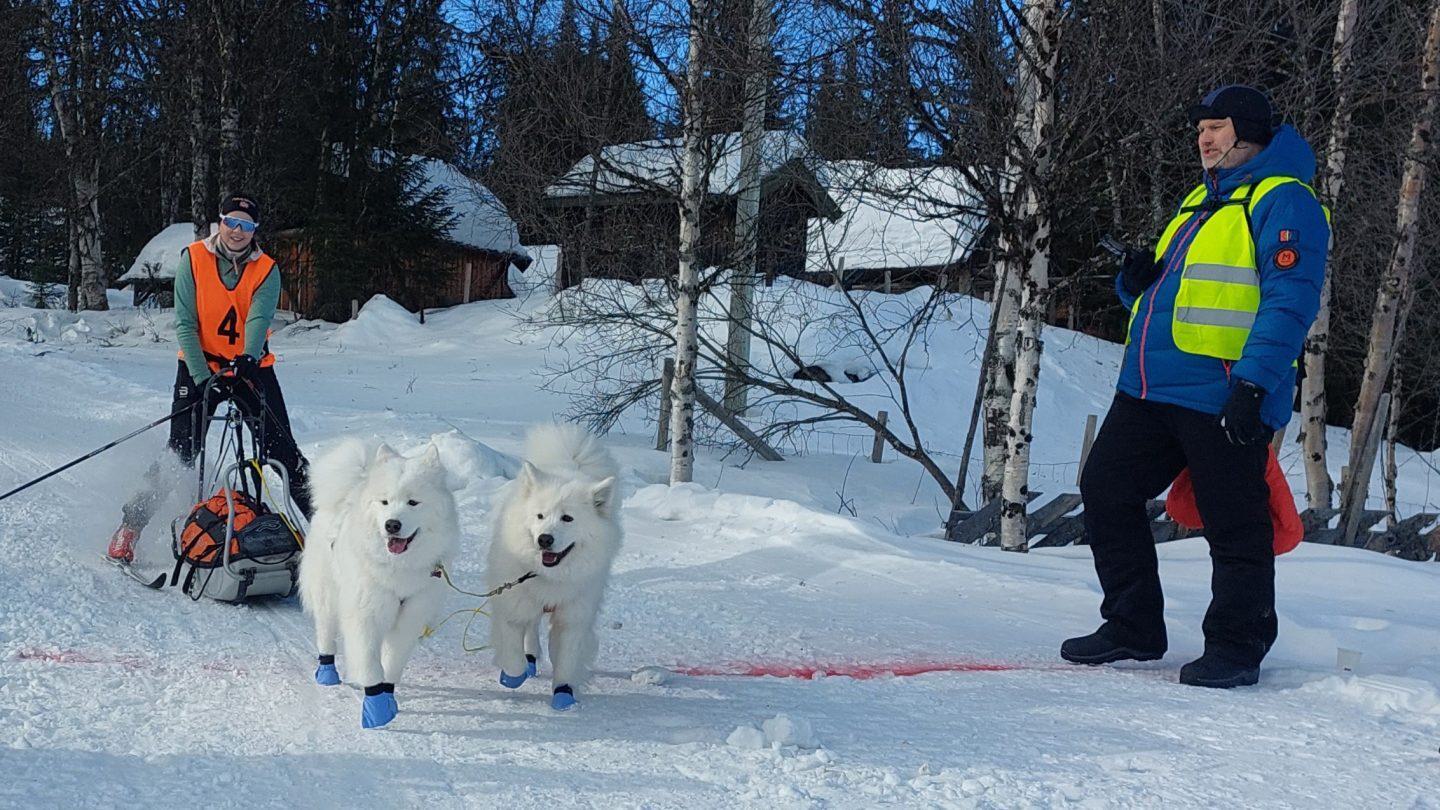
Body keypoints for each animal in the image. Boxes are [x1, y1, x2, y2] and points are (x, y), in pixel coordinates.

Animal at [298, 438, 460, 729]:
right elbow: (369, 662)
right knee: (326, 634)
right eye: (384, 502)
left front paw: (387, 695)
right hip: (328, 595)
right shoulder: (366, 615)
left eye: (413, 502)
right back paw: (326, 673)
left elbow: (392, 661)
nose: (392, 524)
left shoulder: (409, 616)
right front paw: (375, 706)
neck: (398, 568)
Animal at [489, 423, 619, 706]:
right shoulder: (513, 604)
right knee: (530, 629)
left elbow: (567, 658)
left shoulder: (573, 616)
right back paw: (530, 660)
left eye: (567, 518)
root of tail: (567, 464)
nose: (544, 539)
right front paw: (513, 675)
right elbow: (512, 649)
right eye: (540, 516)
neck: (551, 578)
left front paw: (563, 692)